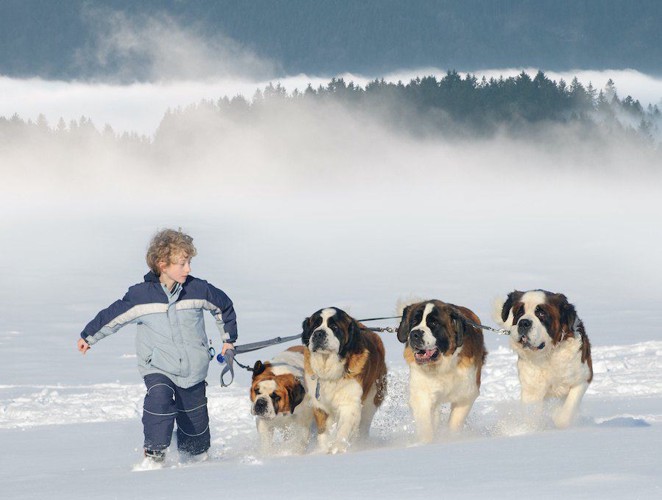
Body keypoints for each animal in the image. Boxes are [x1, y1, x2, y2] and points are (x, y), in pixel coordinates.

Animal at [304, 306, 392, 456]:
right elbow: (323, 431)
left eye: (334, 327)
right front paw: (323, 449)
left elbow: (345, 427)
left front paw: (337, 448)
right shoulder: (319, 404)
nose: (318, 333)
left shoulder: (350, 402)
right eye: (315, 325)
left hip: (372, 398)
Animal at [400, 300, 488, 442]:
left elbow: (455, 423)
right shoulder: (422, 393)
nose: (414, 334)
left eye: (434, 323)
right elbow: (425, 422)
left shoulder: (466, 394)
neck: (442, 365)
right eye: (414, 321)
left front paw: (449, 438)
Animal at [498, 292, 596, 428]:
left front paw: (558, 419)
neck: (548, 354)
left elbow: (566, 413)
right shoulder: (532, 389)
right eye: (519, 312)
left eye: (541, 313)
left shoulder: (582, 378)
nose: (523, 322)